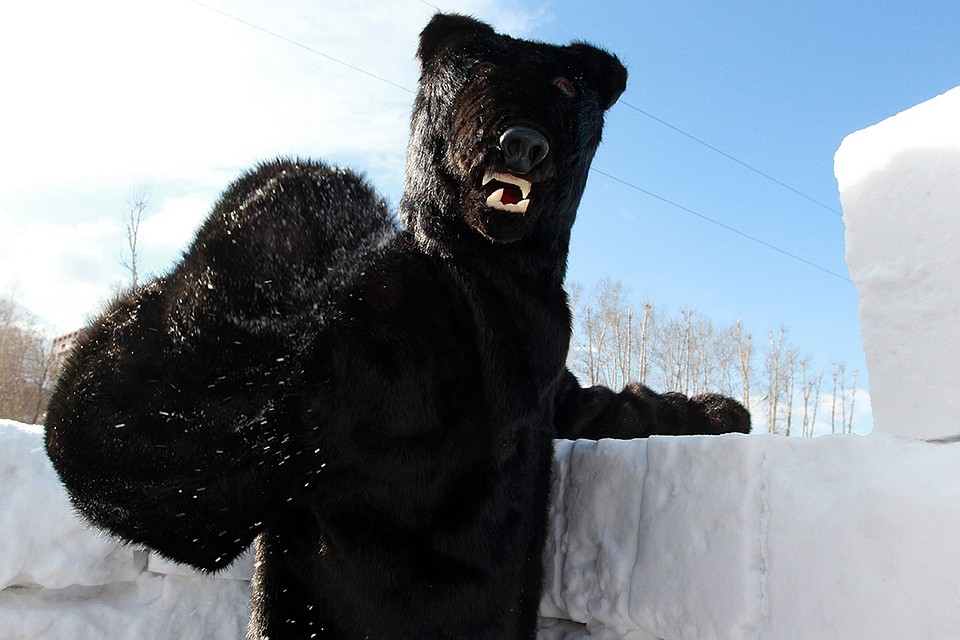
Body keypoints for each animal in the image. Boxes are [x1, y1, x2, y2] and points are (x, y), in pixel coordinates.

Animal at [45, 13, 752, 640]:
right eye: (477, 72)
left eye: (564, 85)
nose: (522, 142)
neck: (489, 282)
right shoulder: (333, 361)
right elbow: (149, 458)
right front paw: (291, 220)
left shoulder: (550, 384)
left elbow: (596, 405)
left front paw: (713, 411)